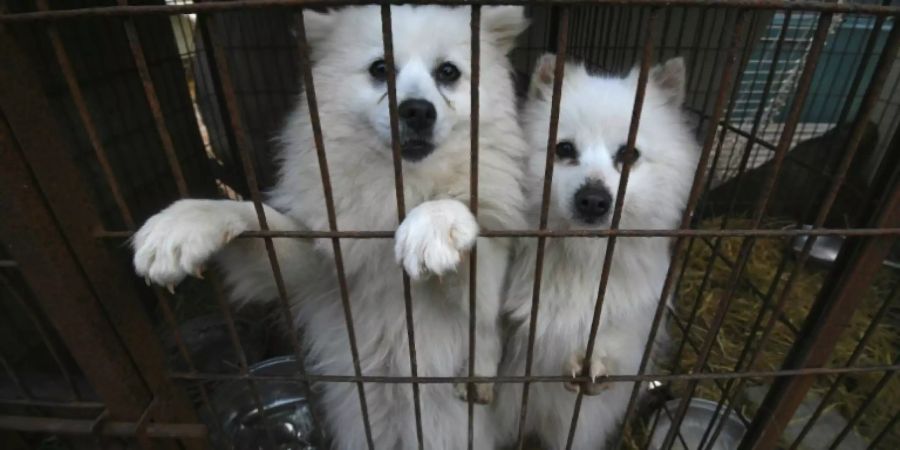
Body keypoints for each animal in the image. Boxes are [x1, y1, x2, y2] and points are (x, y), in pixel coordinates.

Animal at [131, 6, 532, 450]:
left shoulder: (490, 281)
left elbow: (467, 235)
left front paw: (434, 221)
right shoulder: (318, 264)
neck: (402, 187)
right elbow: (255, 217)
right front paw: (184, 222)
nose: (416, 110)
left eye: (448, 72)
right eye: (379, 68)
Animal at [492, 54, 696, 448]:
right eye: (564, 149)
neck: (580, 257)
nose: (593, 200)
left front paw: (592, 362)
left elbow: (610, 340)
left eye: (628, 154)